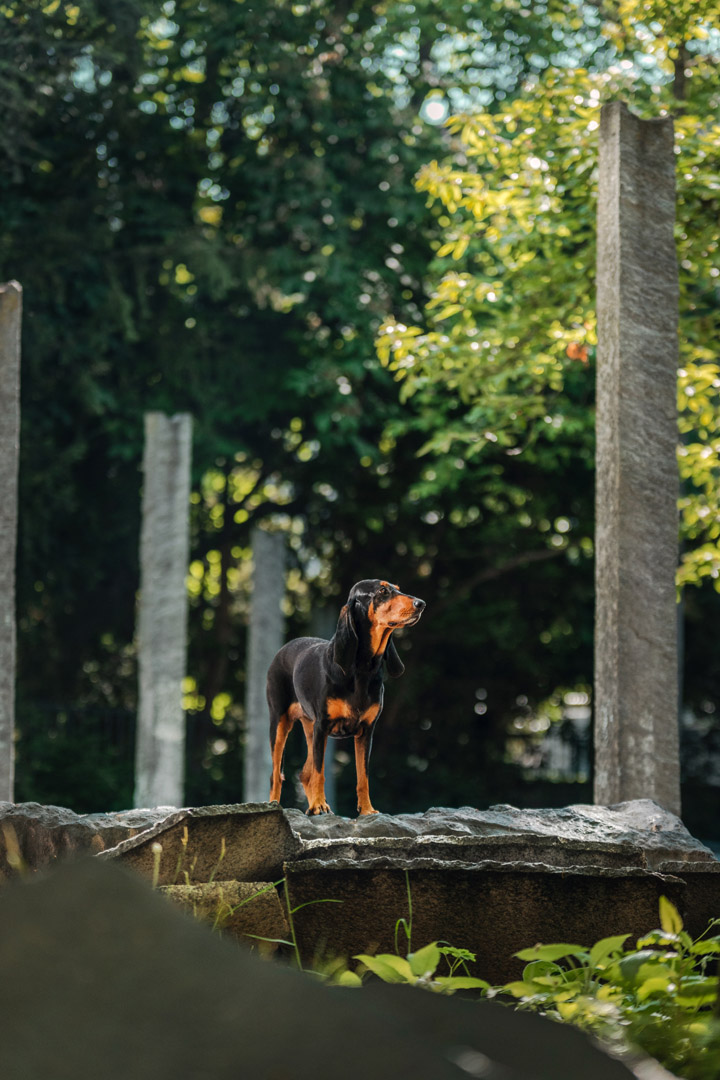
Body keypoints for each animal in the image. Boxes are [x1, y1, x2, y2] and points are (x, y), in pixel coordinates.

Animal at [267, 578, 425, 812]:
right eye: (383, 591)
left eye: (397, 588)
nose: (421, 604)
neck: (362, 669)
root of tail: (284, 648)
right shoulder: (323, 726)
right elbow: (320, 772)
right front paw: (319, 805)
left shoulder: (366, 731)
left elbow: (362, 776)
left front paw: (367, 810)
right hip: (280, 724)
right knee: (278, 774)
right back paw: (276, 805)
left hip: (310, 729)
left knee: (305, 773)